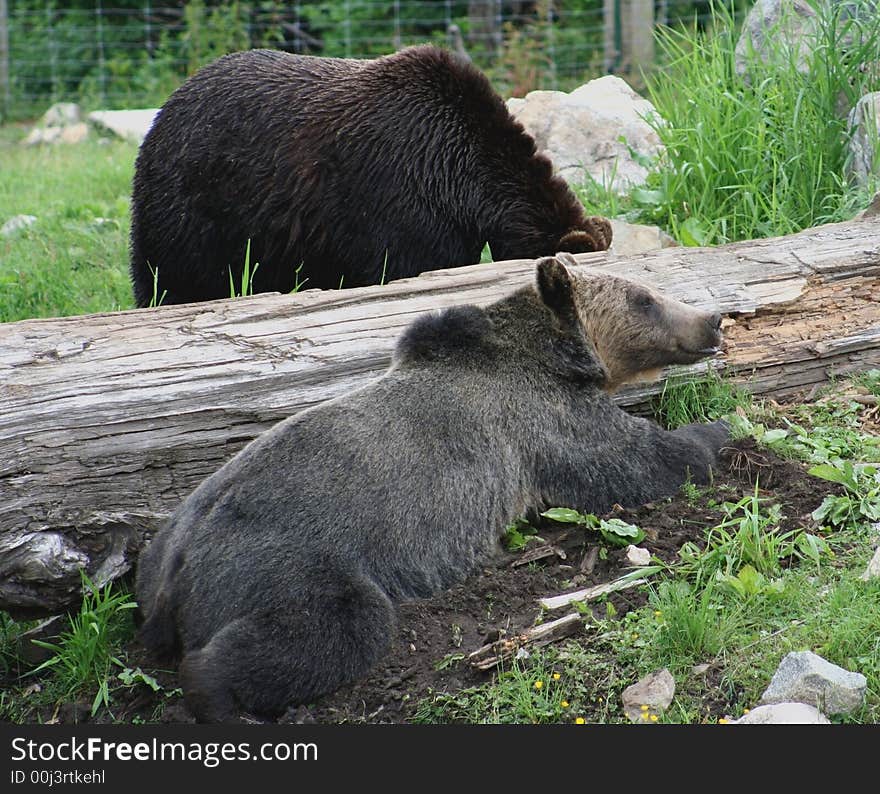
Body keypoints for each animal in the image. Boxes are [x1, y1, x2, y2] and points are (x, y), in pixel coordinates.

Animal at [136, 254, 728, 716]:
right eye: (644, 299)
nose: (714, 319)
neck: (554, 357)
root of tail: (174, 575)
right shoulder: (544, 421)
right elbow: (635, 460)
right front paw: (718, 431)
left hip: (163, 547)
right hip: (284, 563)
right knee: (340, 626)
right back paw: (221, 695)